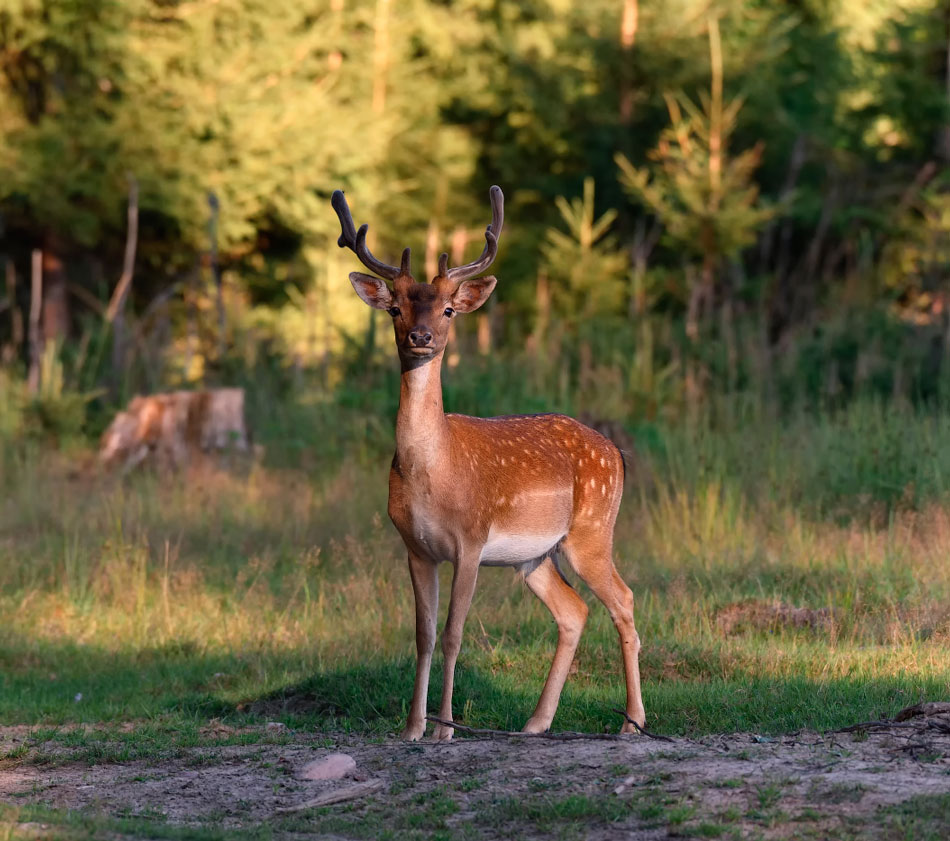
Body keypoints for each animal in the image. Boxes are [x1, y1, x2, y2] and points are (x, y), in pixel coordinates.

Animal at [330, 185, 652, 740]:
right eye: (395, 309)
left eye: (448, 311)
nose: (421, 338)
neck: (432, 474)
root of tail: (616, 452)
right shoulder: (415, 547)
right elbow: (423, 634)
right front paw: (411, 728)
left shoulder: (471, 539)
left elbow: (455, 633)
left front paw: (445, 728)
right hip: (535, 556)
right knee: (574, 611)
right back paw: (535, 723)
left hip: (592, 530)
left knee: (625, 599)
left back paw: (633, 722)